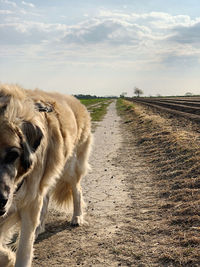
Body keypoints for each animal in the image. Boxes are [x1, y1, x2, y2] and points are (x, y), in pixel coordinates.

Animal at [0, 84, 92, 267]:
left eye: (13, 155)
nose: (0, 201)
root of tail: (76, 100)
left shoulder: (28, 202)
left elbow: (23, 251)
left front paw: (12, 257)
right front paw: (9, 256)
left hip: (69, 169)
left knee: (77, 191)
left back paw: (77, 217)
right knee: (45, 199)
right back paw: (39, 228)